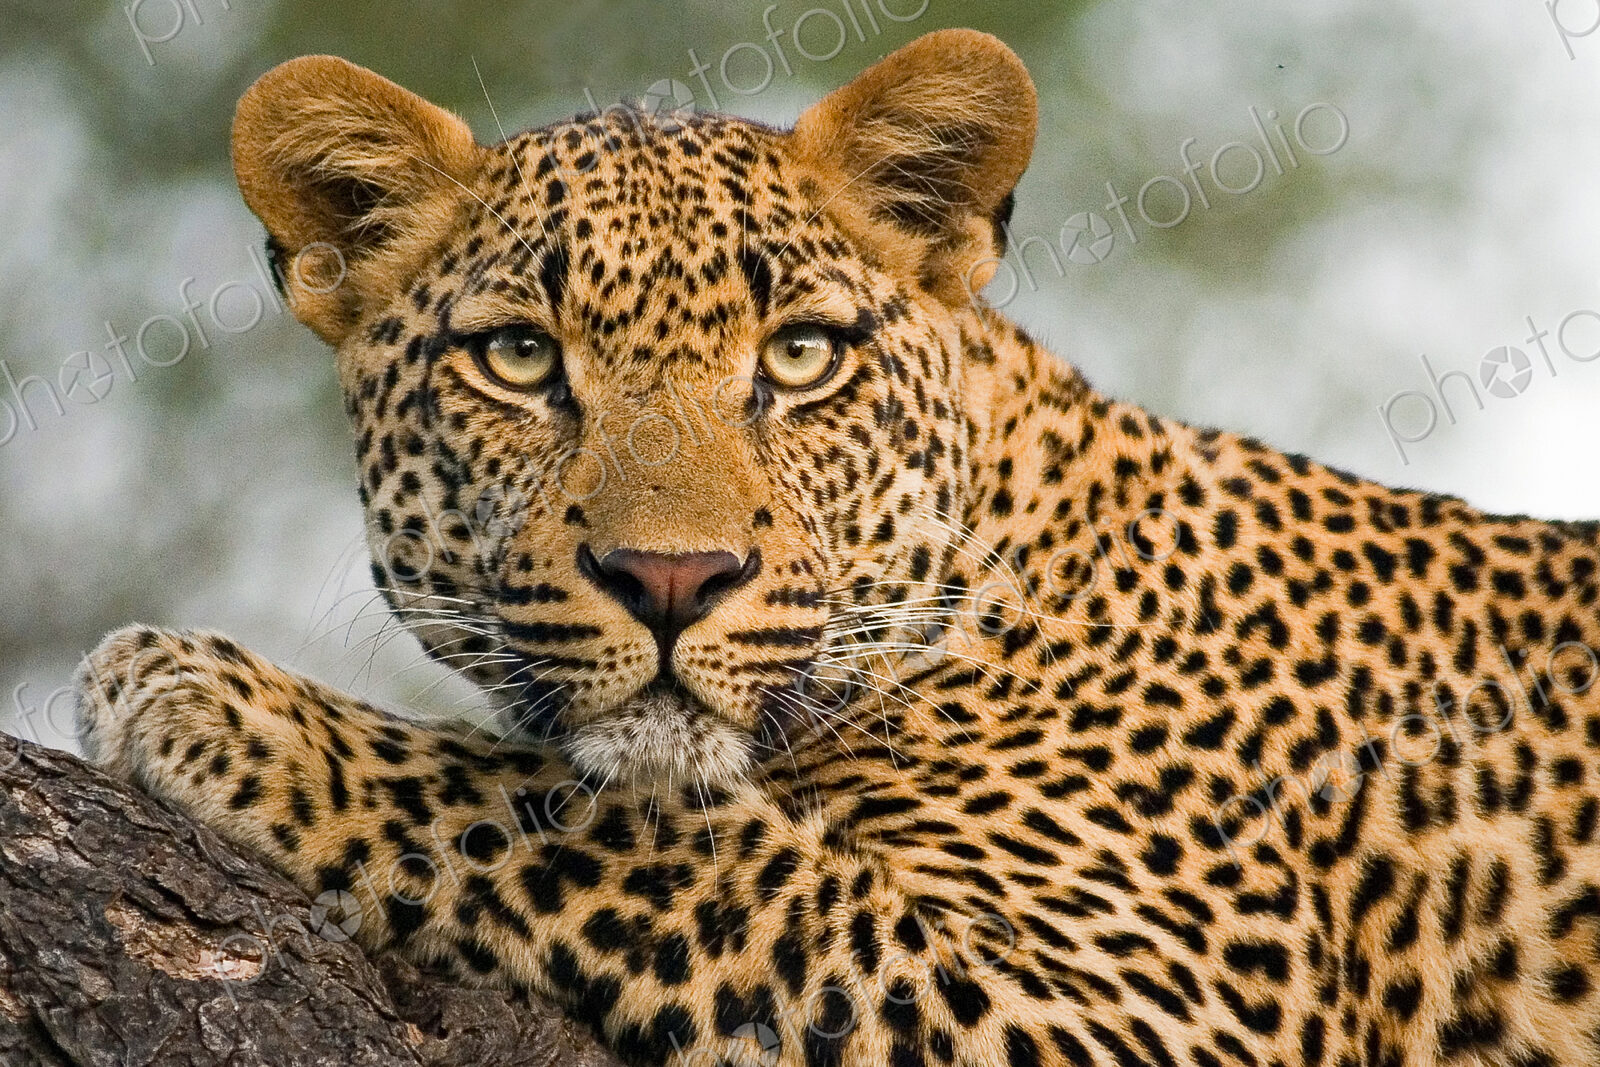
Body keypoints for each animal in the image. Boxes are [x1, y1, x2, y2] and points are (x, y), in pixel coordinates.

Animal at [71, 28, 1600, 1067]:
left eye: (802, 355)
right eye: (518, 357)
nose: (672, 580)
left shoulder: (1144, 1008)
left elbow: (649, 838)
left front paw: (225, 702)